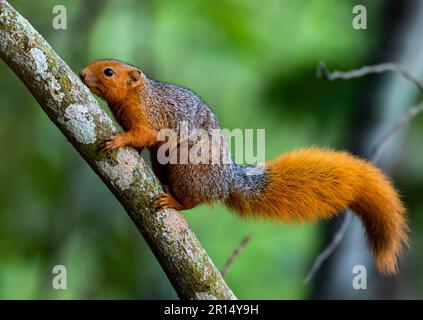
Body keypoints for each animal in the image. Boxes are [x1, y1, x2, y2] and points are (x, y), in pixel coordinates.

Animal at [80, 59, 410, 276]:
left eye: (109, 71)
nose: (82, 73)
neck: (137, 95)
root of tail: (226, 181)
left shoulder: (151, 116)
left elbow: (143, 134)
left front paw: (120, 140)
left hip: (190, 170)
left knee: (194, 199)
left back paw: (173, 199)